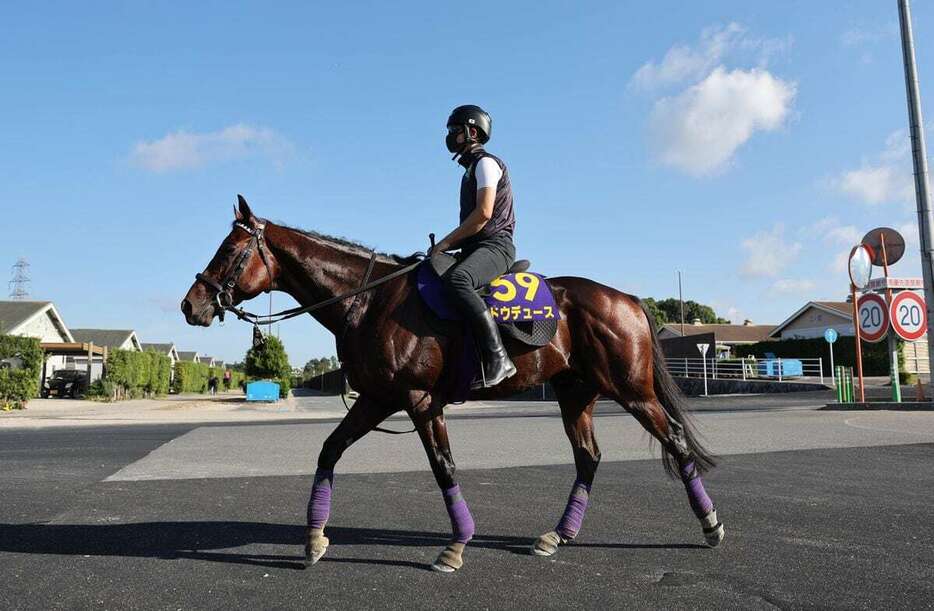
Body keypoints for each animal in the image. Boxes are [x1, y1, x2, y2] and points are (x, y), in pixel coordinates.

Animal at [181, 197, 724, 572]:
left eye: (230, 249)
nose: (191, 304)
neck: (371, 300)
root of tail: (628, 299)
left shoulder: (419, 400)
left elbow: (443, 467)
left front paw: (456, 545)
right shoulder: (377, 399)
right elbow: (329, 451)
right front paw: (314, 539)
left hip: (632, 392)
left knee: (675, 441)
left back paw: (711, 525)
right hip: (576, 395)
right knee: (588, 457)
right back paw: (559, 534)